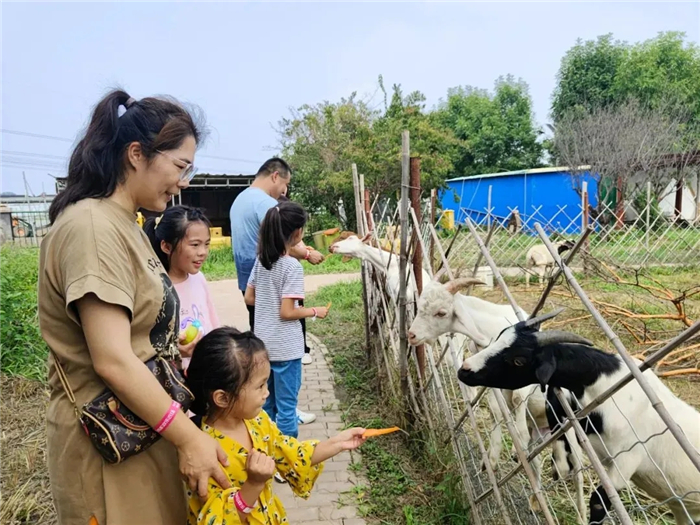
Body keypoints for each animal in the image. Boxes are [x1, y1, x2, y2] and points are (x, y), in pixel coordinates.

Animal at [408, 278, 588, 520]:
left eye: (441, 312)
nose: (411, 335)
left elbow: (518, 399)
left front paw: (516, 440)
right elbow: (496, 409)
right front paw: (492, 458)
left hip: (569, 428)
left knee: (578, 469)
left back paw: (581, 514)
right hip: (541, 431)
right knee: (537, 460)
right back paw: (535, 498)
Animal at [460, 316, 700, 524]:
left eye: (518, 360)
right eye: (501, 336)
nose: (464, 370)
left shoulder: (626, 459)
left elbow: (598, 502)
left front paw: (560, 466)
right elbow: (556, 413)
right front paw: (558, 464)